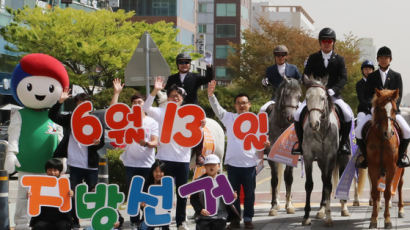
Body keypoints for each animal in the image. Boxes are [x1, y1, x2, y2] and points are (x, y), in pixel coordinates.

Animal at [264, 77, 302, 216]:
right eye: (286, 95)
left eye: (299, 96)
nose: (291, 117)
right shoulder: (271, 155)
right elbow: (275, 179)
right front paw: (274, 206)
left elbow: (288, 178)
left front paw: (289, 205)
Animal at [302, 76, 350, 226]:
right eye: (306, 97)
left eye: (323, 98)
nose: (313, 124)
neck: (321, 130)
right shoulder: (308, 156)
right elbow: (309, 185)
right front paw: (306, 216)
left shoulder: (331, 156)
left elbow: (329, 185)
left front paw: (329, 217)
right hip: (321, 161)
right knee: (323, 179)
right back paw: (321, 209)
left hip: (342, 158)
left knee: (337, 179)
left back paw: (344, 207)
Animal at [366, 88, 406, 228]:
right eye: (379, 109)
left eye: (394, 109)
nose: (388, 133)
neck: (382, 139)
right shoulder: (373, 167)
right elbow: (375, 192)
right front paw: (373, 219)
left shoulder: (391, 167)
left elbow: (388, 192)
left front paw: (387, 220)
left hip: (401, 168)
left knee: (399, 185)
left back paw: (400, 209)